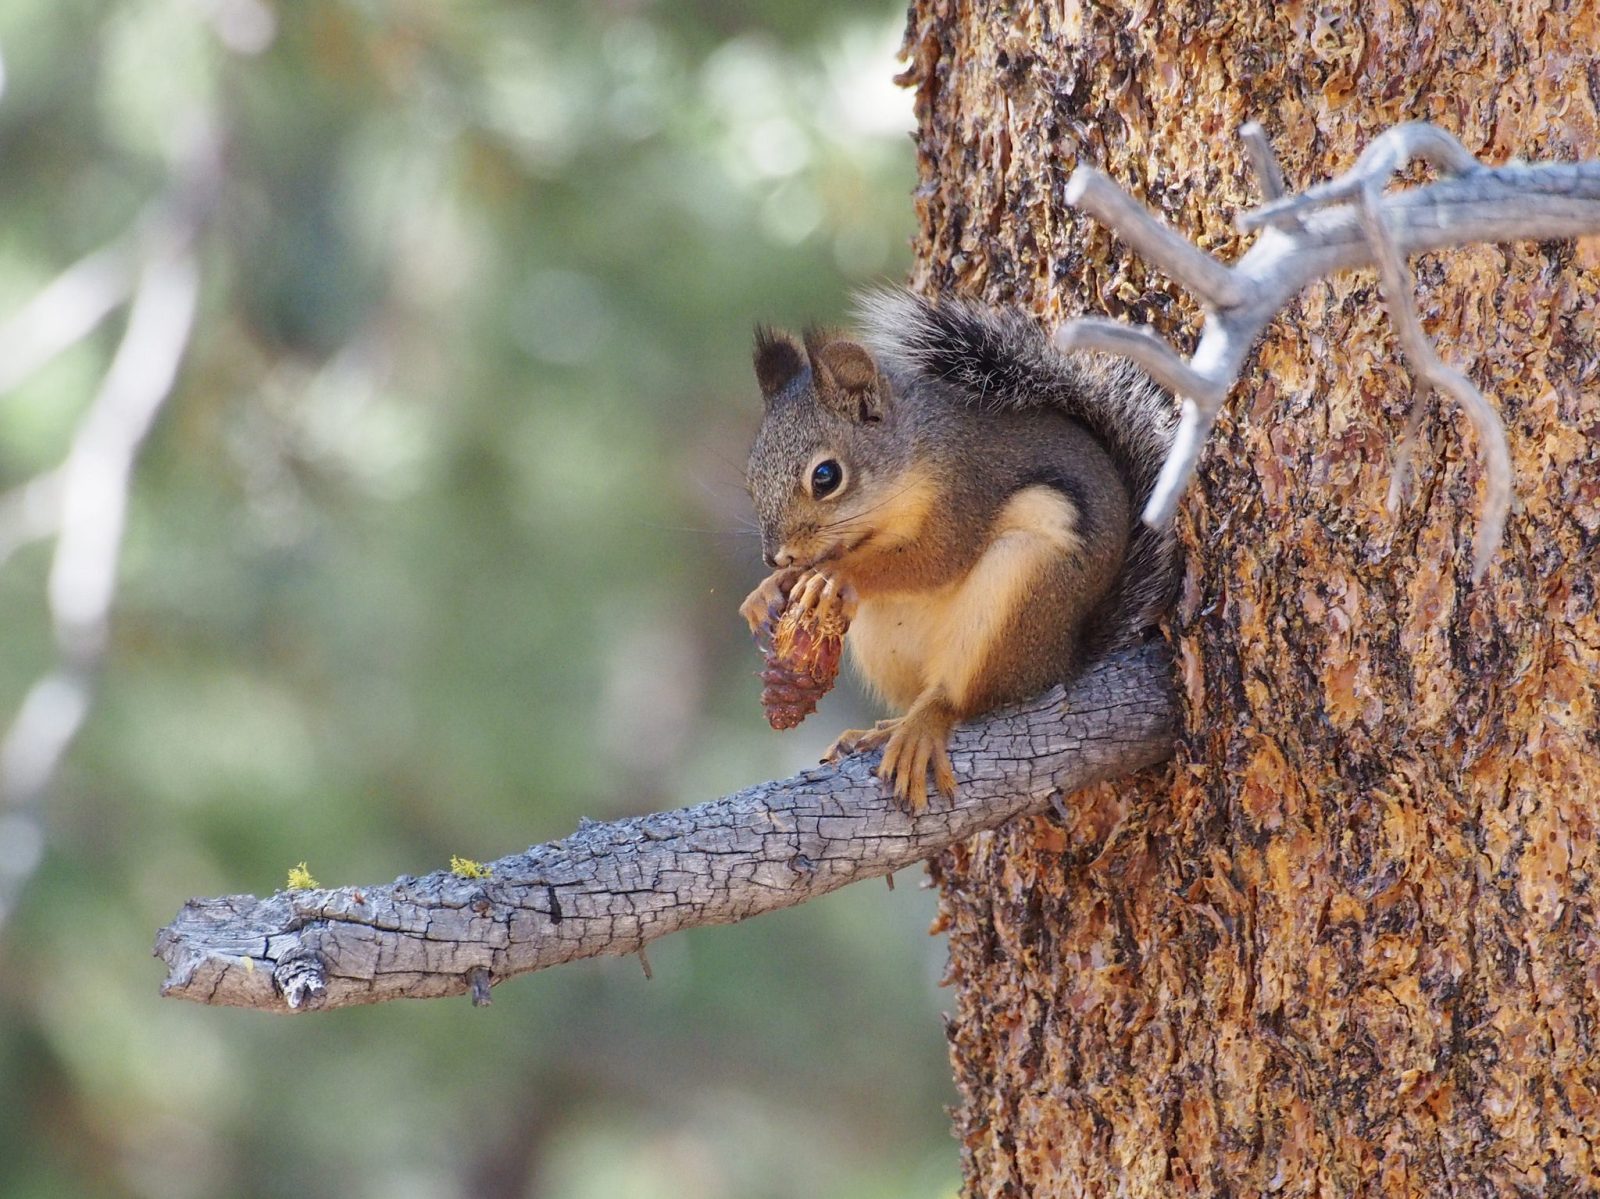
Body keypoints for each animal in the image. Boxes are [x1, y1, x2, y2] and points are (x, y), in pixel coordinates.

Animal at [736, 291, 1177, 810]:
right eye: (751, 480)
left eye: (826, 476)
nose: (775, 556)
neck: (913, 456)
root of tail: (1061, 659)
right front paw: (767, 592)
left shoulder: (967, 491)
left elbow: (935, 559)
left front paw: (838, 576)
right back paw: (881, 729)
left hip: (1019, 587)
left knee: (961, 699)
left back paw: (922, 727)